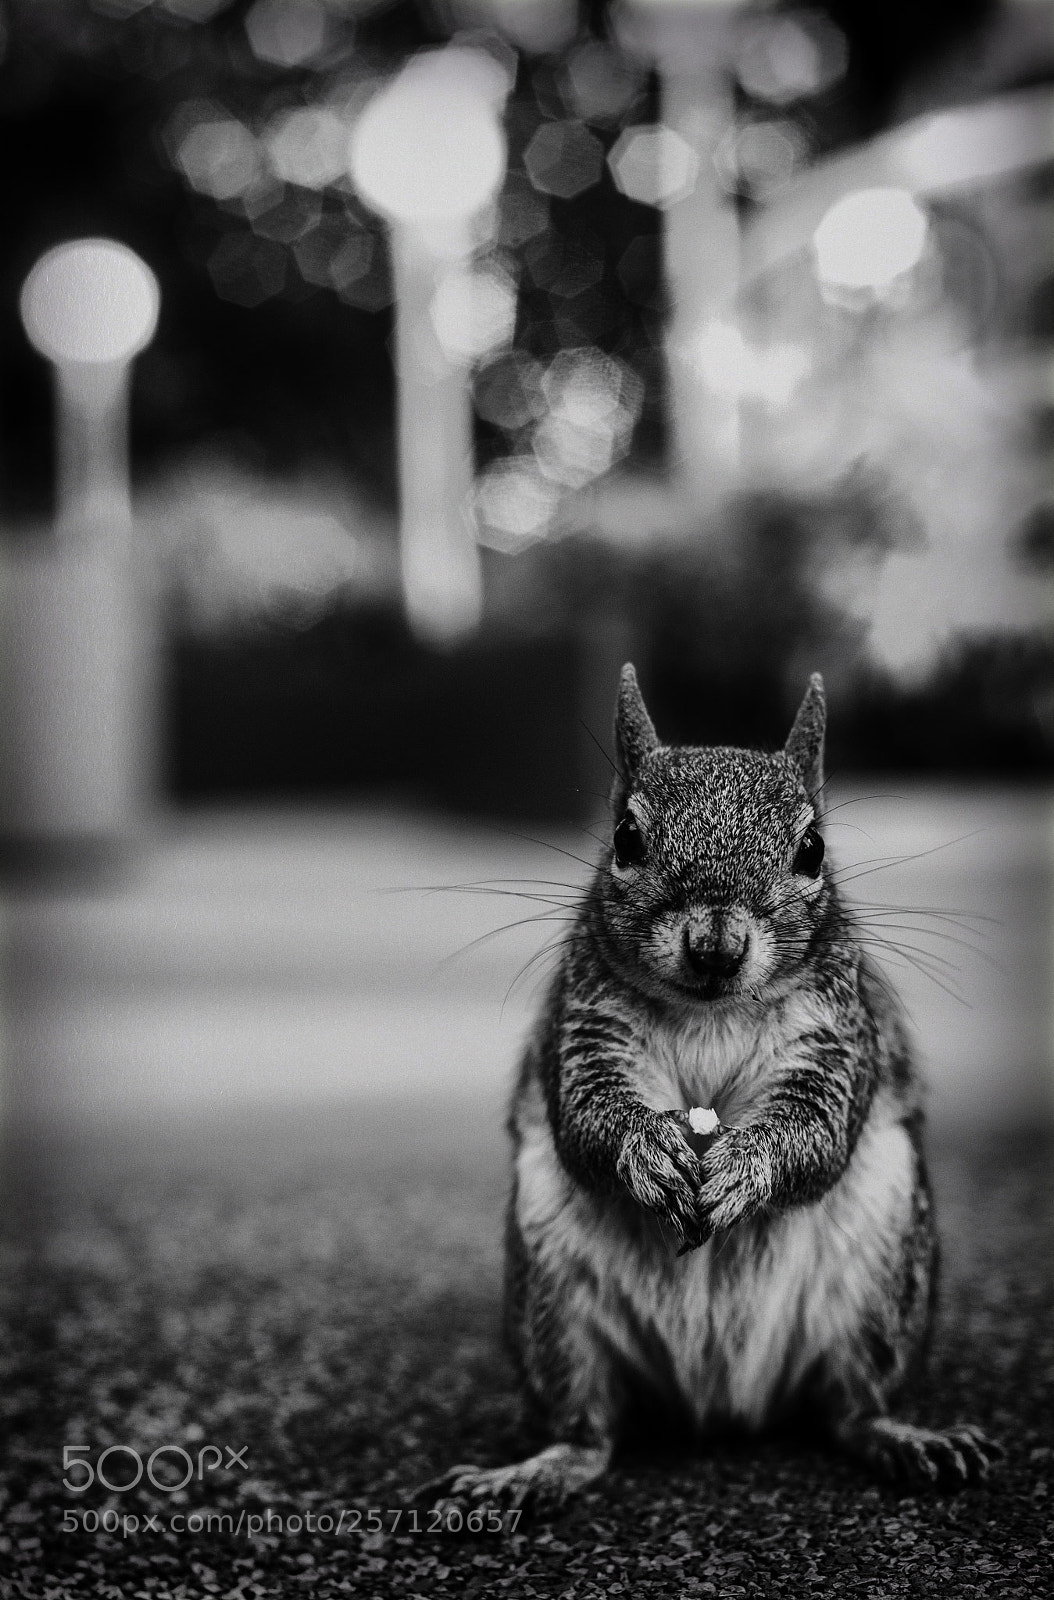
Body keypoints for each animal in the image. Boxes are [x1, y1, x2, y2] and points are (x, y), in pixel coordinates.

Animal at [430, 665, 1001, 1512]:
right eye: (626, 839)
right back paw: (530, 1474)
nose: (716, 945)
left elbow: (816, 1130)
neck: (711, 1012)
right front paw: (648, 1150)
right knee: (590, 1432)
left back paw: (908, 1439)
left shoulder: (836, 1035)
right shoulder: (586, 1026)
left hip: (882, 1283)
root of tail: (718, 1406)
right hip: (552, 1306)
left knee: (850, 1408)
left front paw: (743, 1167)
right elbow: (586, 1114)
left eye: (813, 848)